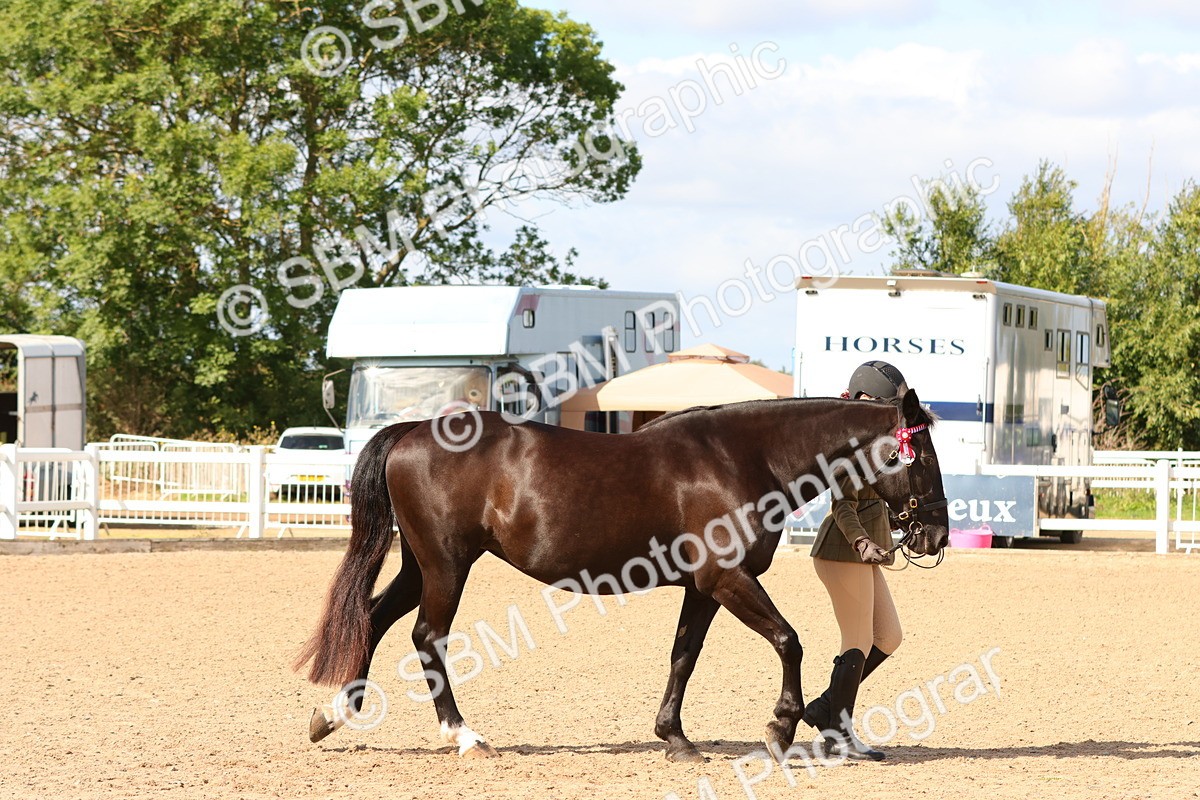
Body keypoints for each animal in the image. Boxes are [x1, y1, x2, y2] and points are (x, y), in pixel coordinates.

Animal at [295, 388, 949, 762]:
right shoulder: (728, 580)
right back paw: (464, 736)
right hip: (447, 566)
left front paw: (675, 739)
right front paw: (781, 728)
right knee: (427, 638)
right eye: (923, 458)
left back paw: (333, 714)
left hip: (421, 565)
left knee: (374, 619)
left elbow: (683, 655)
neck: (743, 458)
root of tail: (412, 430)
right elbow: (789, 640)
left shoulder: (703, 588)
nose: (938, 536)